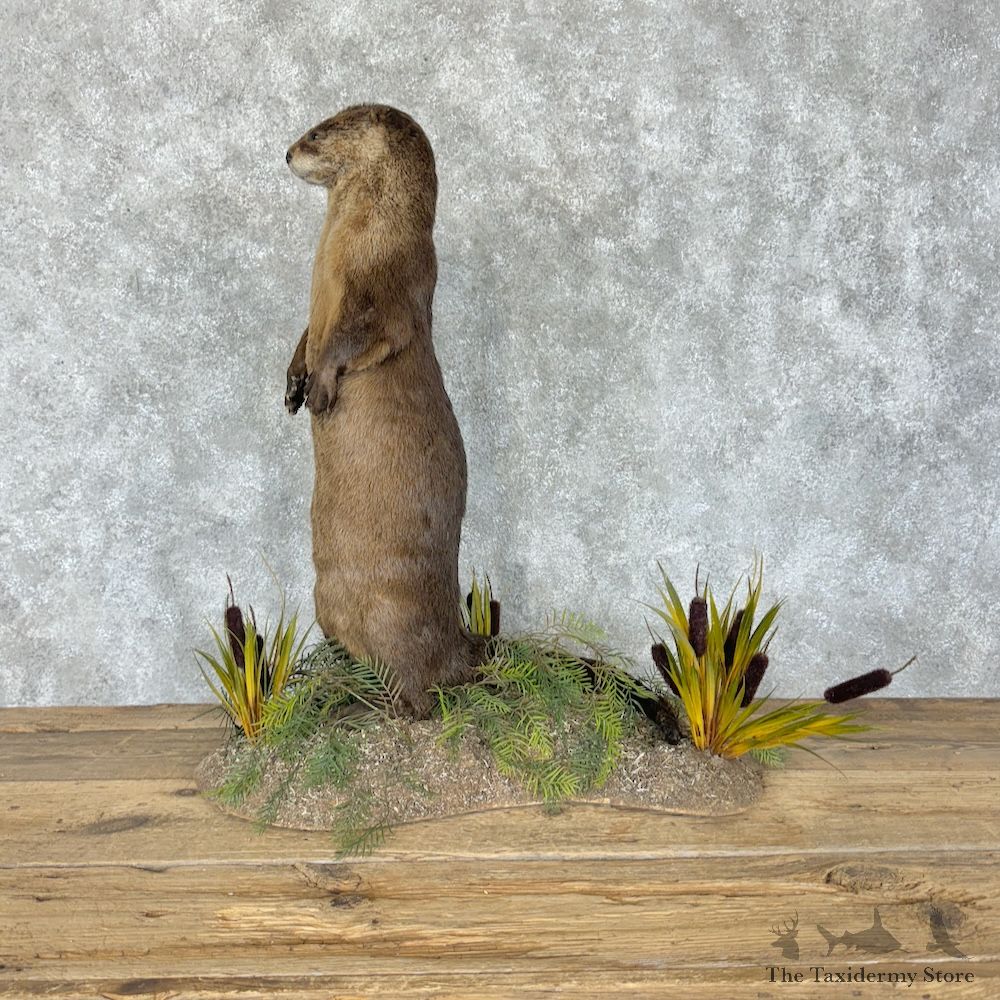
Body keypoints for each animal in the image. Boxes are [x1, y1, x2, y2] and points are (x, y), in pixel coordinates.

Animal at [284, 104, 483, 716]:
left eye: (317, 132)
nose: (286, 153)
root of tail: (460, 641)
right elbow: (308, 336)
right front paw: (292, 383)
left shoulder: (386, 289)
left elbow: (356, 337)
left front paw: (322, 390)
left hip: (392, 610)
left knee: (419, 691)